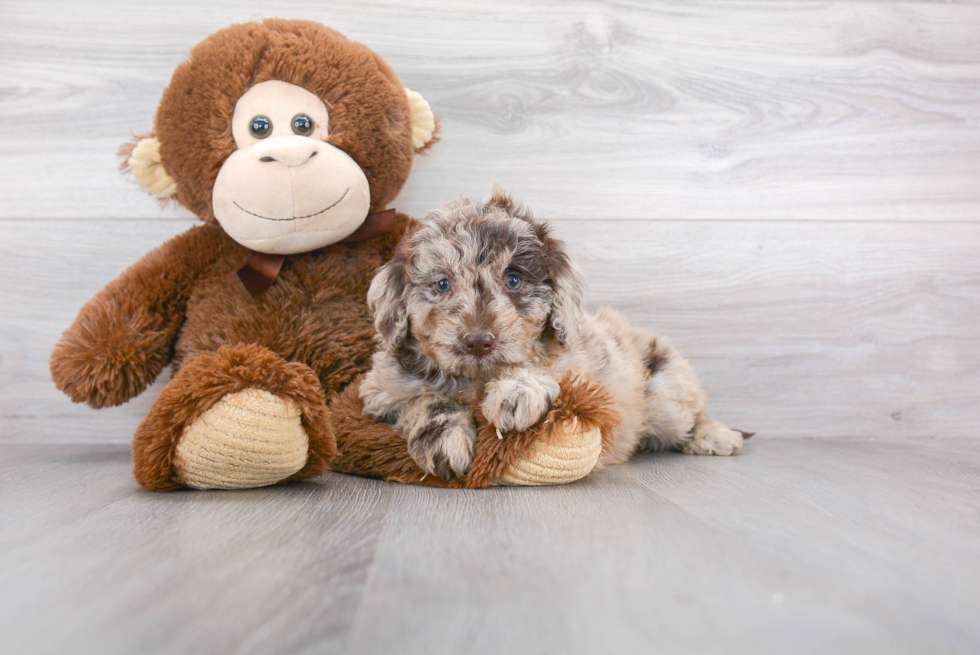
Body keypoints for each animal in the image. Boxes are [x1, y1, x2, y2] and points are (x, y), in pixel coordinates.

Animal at [360, 191, 744, 482]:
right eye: (442, 284)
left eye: (513, 280)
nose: (479, 341)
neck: (475, 378)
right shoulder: (380, 393)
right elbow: (424, 399)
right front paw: (445, 441)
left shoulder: (581, 370)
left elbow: (539, 366)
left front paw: (516, 391)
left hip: (665, 395)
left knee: (692, 415)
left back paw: (716, 436)